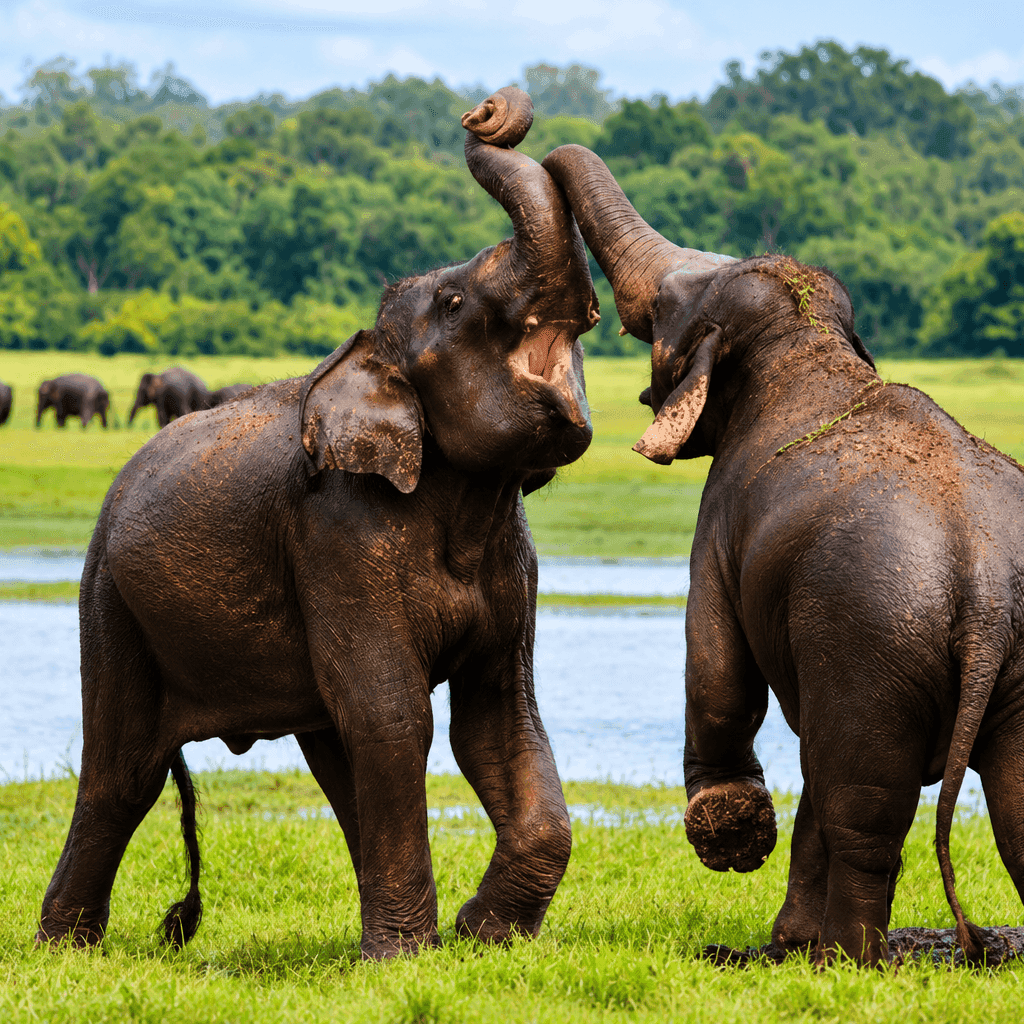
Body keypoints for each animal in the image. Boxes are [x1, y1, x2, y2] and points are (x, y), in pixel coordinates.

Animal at [37, 88, 599, 961]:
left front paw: (480, 936)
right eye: (454, 302)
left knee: (330, 750)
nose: (485, 110)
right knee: (123, 773)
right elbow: (393, 713)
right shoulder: (337, 534)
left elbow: (498, 718)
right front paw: (409, 960)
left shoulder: (513, 557)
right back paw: (63, 952)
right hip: (109, 598)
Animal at [542, 141, 1024, 965]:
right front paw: (782, 937)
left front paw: (734, 840)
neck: (807, 343)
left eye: (666, 312)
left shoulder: (718, 518)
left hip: (871, 635)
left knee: (864, 800)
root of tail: (989, 586)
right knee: (1008, 802)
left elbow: (716, 662)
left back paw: (847, 958)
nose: (485, 120)